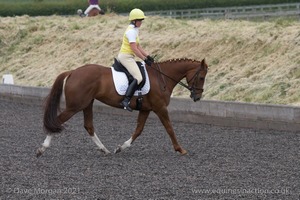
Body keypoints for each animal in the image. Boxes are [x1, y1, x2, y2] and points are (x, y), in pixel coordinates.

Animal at [35, 58, 209, 157]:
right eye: (201, 77)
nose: (197, 97)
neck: (162, 78)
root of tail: (72, 72)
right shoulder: (160, 108)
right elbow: (169, 128)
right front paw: (180, 149)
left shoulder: (146, 109)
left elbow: (138, 130)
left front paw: (121, 148)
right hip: (75, 106)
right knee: (58, 121)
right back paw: (42, 149)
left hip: (87, 104)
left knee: (89, 126)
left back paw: (104, 150)